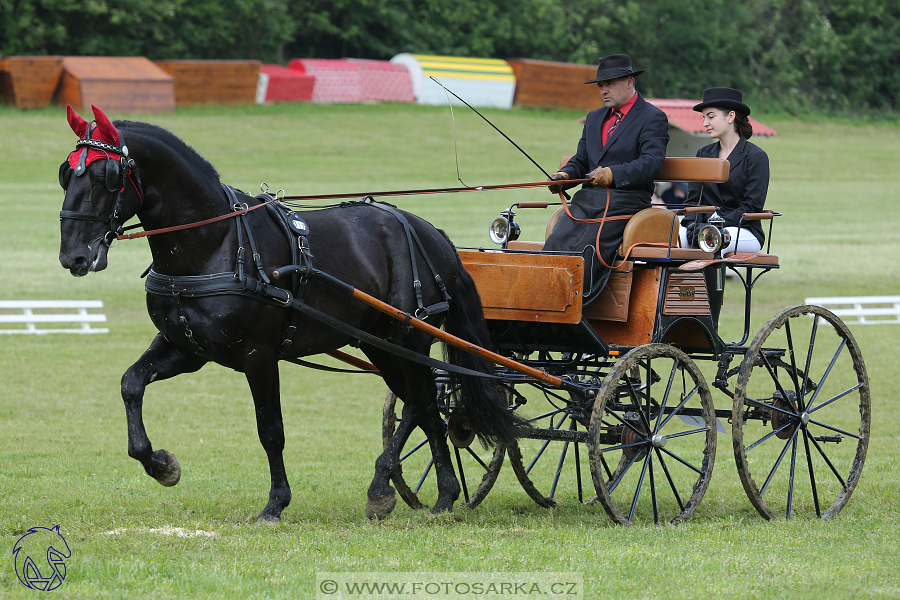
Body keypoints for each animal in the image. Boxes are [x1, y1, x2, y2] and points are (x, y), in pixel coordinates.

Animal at [56, 104, 516, 520]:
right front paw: (160, 464)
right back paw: (443, 497)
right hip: (382, 346)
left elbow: (270, 431)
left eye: (105, 177)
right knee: (428, 410)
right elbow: (131, 384)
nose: (73, 256)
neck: (215, 242)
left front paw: (276, 503)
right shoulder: (185, 348)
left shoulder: (258, 355)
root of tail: (436, 236)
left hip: (409, 338)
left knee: (422, 404)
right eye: (65, 172)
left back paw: (382, 487)